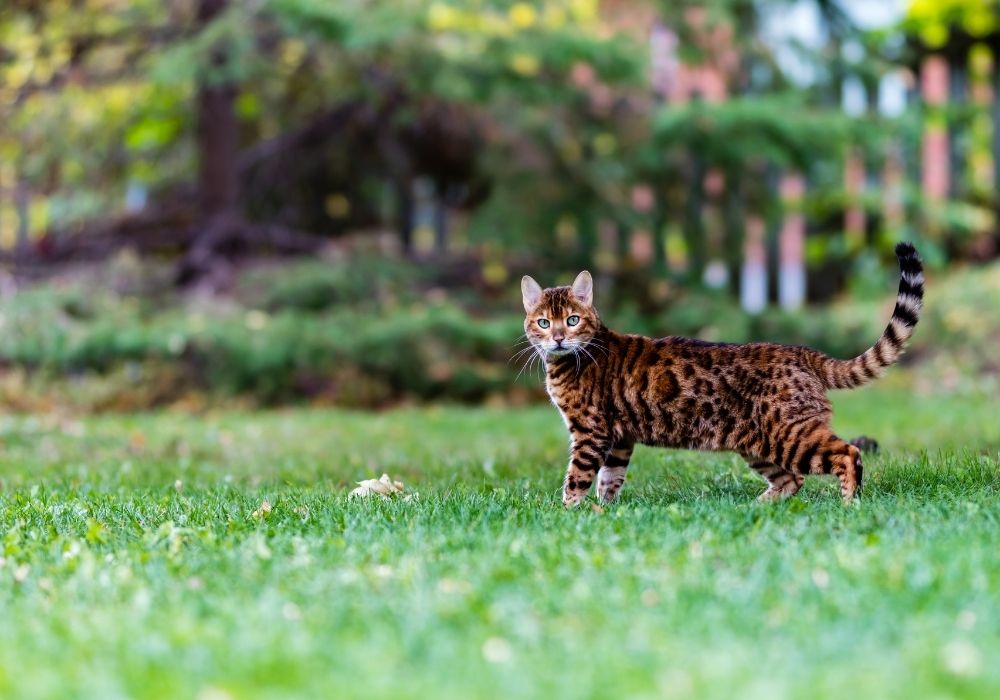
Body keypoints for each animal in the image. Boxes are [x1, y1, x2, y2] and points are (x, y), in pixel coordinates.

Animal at [520, 243, 924, 506]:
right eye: (544, 322)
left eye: (572, 320)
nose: (558, 338)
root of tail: (802, 352)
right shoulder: (618, 439)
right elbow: (609, 479)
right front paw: (605, 512)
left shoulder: (591, 432)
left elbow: (577, 478)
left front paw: (569, 513)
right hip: (760, 445)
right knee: (793, 479)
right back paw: (756, 507)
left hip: (791, 435)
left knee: (848, 453)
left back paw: (848, 502)